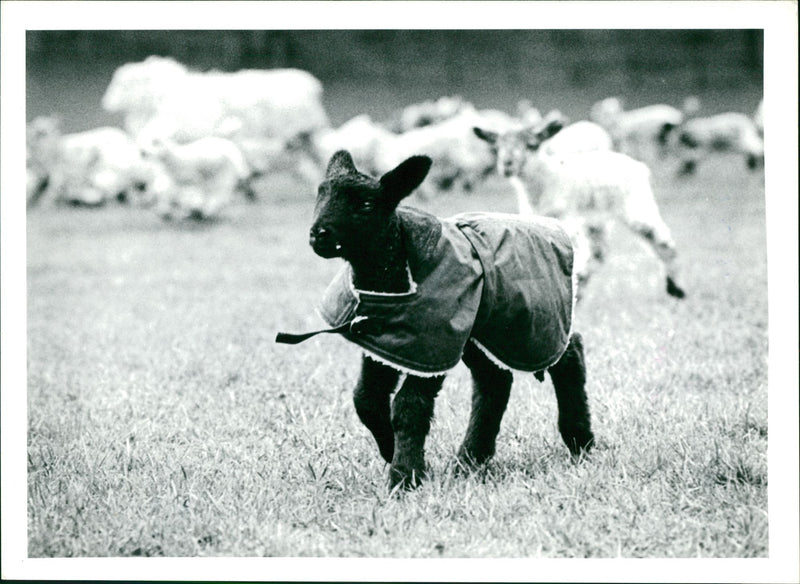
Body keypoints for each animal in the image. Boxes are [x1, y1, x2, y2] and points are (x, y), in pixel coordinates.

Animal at [476, 116, 688, 298]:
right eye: (497, 147)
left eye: (531, 145)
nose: (507, 165)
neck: (545, 178)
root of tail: (638, 165)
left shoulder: (565, 216)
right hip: (596, 219)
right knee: (599, 252)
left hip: (636, 203)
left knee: (660, 239)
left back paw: (676, 288)